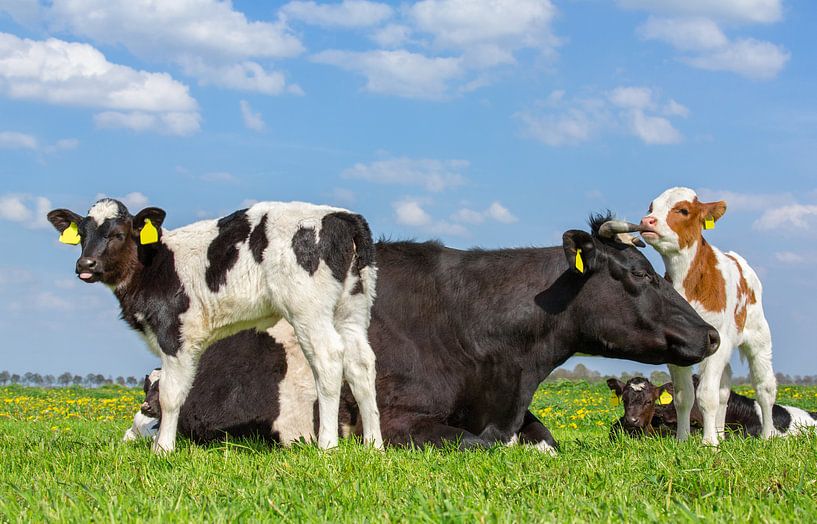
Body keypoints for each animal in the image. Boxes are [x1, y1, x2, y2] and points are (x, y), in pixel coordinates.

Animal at [48, 198, 381, 453]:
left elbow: (170, 394)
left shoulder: (175, 334)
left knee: (328, 360)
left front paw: (162, 449)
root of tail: (343, 216)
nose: (85, 265)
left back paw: (328, 445)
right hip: (352, 309)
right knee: (361, 364)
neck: (154, 263)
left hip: (308, 309)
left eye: (118, 233)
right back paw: (373, 445)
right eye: (82, 234)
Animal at [640, 187, 776, 446]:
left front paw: (709, 443)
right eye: (651, 207)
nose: (647, 221)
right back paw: (721, 434)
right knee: (724, 390)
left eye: (683, 210)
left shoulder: (718, 340)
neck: (687, 279)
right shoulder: (676, 348)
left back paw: (768, 435)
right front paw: (683, 439)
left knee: (765, 388)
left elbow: (706, 395)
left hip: (759, 337)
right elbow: (684, 396)